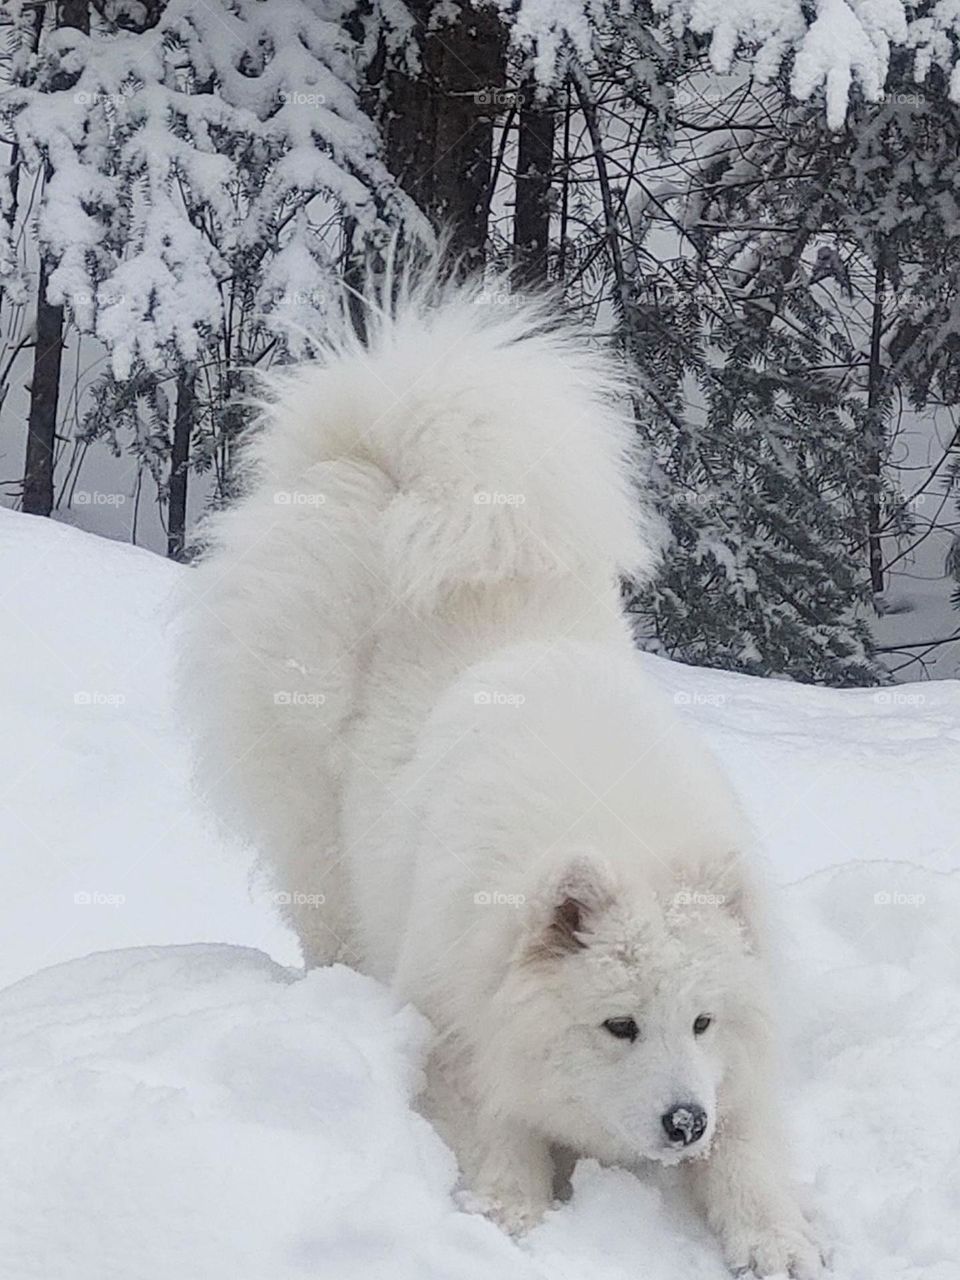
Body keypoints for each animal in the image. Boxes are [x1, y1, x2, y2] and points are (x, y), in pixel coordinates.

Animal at [184, 264, 824, 1274]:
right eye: (619, 1025)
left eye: (702, 1022)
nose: (684, 1122)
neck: (614, 823)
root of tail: (387, 462)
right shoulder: (457, 1019)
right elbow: (496, 1124)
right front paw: (511, 1217)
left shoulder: (738, 1074)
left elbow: (751, 1149)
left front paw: (778, 1240)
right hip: (314, 826)